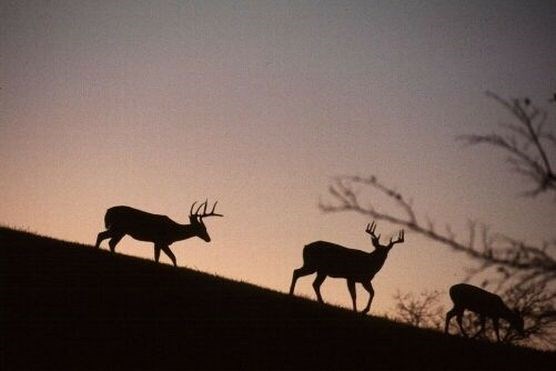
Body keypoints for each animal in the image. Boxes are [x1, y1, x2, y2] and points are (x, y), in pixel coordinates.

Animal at [95, 201, 224, 268]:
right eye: (203, 228)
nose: (208, 239)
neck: (174, 232)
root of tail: (108, 211)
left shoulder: (159, 242)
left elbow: (164, 257)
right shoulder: (160, 241)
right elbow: (168, 257)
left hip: (121, 230)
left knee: (108, 240)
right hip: (118, 228)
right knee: (104, 237)